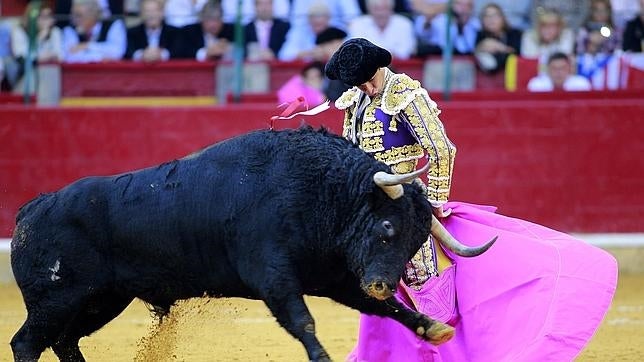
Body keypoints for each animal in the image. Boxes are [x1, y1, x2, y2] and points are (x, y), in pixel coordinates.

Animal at [10, 126, 494, 360]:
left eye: (415, 242)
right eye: (386, 228)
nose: (382, 282)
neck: (321, 191)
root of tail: (31, 210)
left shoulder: (337, 279)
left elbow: (390, 309)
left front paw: (433, 327)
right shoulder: (273, 277)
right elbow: (303, 322)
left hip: (101, 300)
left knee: (64, 342)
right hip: (57, 300)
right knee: (26, 344)